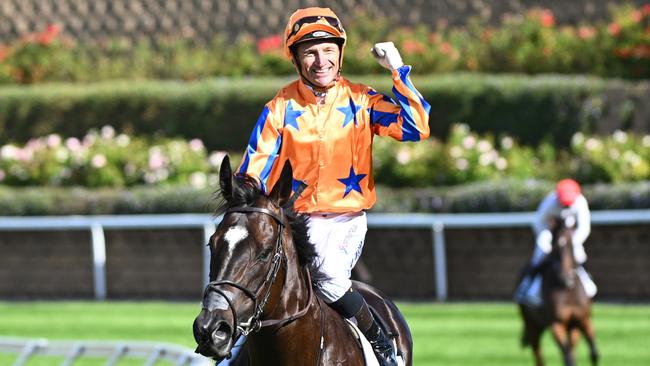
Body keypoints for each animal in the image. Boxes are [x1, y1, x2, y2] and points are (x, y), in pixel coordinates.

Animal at [516, 213, 596, 364]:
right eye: (555, 247)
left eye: (572, 245)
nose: (566, 279)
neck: (568, 291)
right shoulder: (556, 323)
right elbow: (568, 356)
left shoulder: (581, 320)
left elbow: (593, 352)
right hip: (532, 324)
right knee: (538, 354)